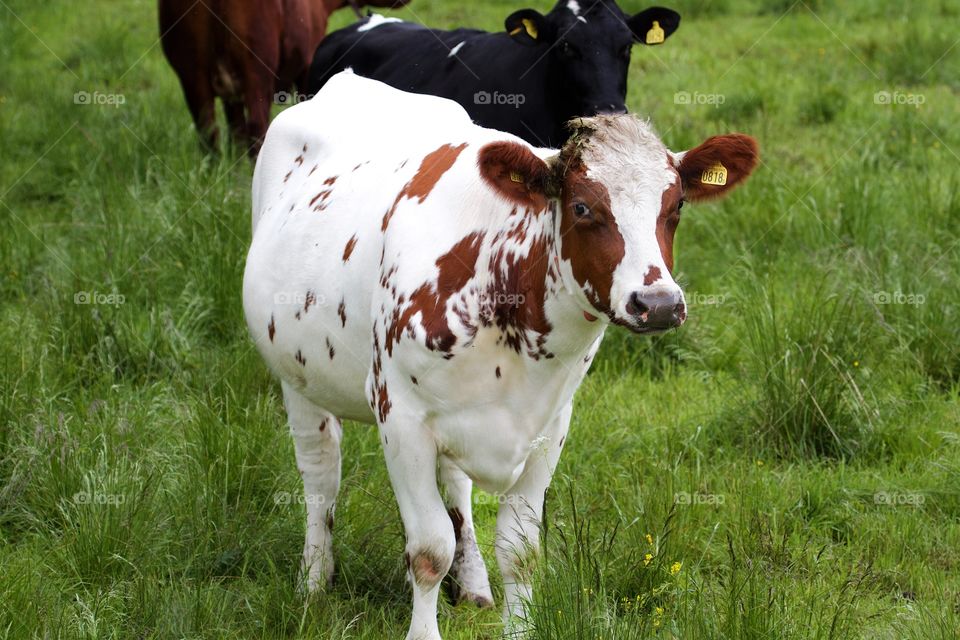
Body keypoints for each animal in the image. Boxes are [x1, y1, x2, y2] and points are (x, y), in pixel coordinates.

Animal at [158, 0, 408, 154]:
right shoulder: (306, 63)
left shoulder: (229, 95)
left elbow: (235, 131)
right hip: (257, 69)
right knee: (257, 126)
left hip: (192, 75)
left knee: (208, 131)